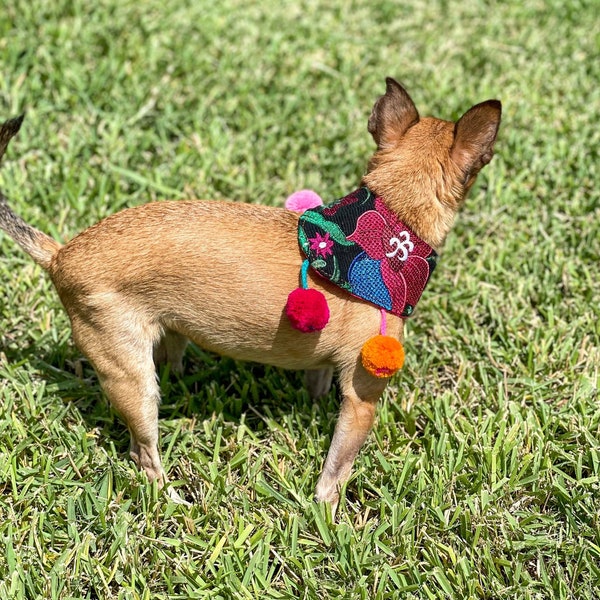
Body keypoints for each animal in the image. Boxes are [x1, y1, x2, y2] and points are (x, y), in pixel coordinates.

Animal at [0, 79, 502, 508]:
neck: (385, 231)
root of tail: (62, 255)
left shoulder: (326, 368)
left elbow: (318, 382)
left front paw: (310, 408)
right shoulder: (363, 401)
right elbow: (338, 466)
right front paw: (329, 513)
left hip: (162, 337)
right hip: (130, 379)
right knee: (144, 455)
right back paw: (170, 496)